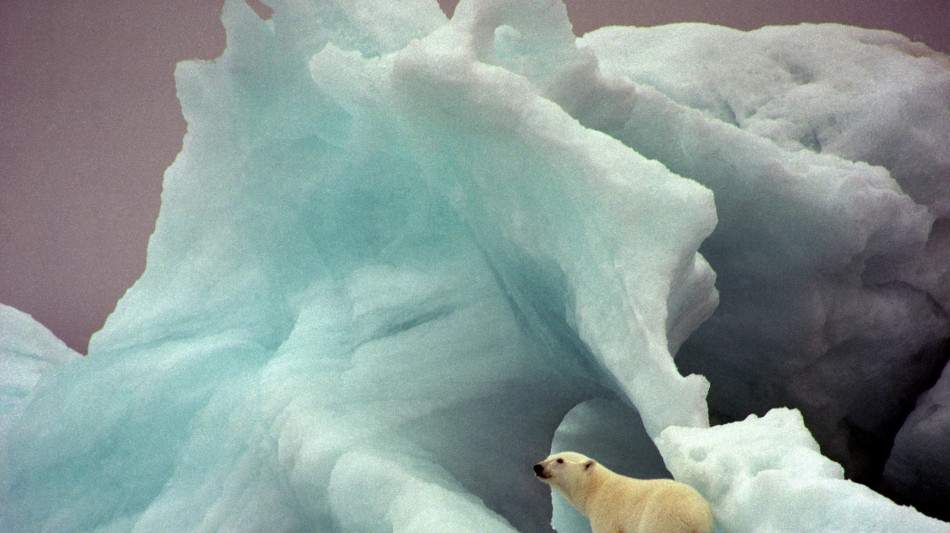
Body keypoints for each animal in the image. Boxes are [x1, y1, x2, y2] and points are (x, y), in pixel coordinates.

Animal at [533, 451, 714, 533]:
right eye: (548, 457)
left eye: (560, 460)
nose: (538, 466)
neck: (596, 488)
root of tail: (694, 516)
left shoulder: (606, 514)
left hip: (661, 521)